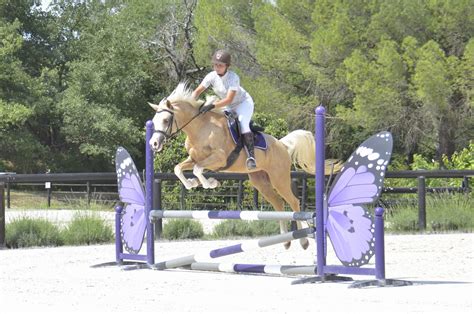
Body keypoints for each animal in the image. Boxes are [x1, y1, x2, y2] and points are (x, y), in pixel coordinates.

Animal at [150, 82, 338, 249]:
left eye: (166, 120)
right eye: (154, 120)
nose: (153, 144)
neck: (201, 128)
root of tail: (283, 145)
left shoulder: (219, 158)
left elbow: (197, 170)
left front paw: (210, 183)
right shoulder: (194, 158)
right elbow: (179, 169)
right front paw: (194, 183)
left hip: (279, 179)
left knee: (293, 202)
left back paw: (303, 241)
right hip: (260, 181)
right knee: (278, 204)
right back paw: (285, 240)